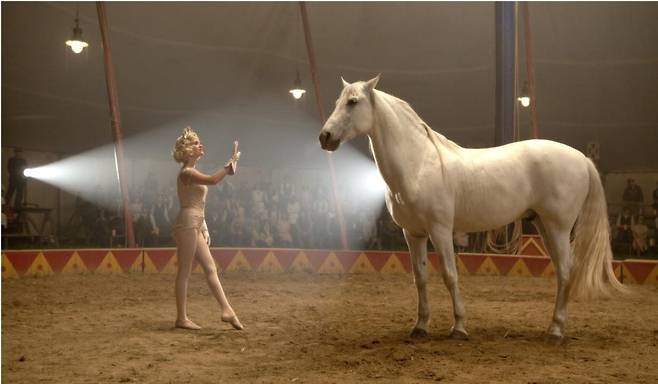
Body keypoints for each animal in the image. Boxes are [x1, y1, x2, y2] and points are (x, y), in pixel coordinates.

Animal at [320, 75, 624, 342]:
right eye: (338, 101)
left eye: (353, 102)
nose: (325, 137)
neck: (418, 164)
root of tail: (582, 158)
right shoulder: (413, 234)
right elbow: (420, 278)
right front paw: (420, 326)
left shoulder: (440, 231)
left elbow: (450, 275)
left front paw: (459, 328)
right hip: (543, 225)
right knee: (562, 271)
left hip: (558, 227)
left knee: (565, 271)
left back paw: (556, 332)